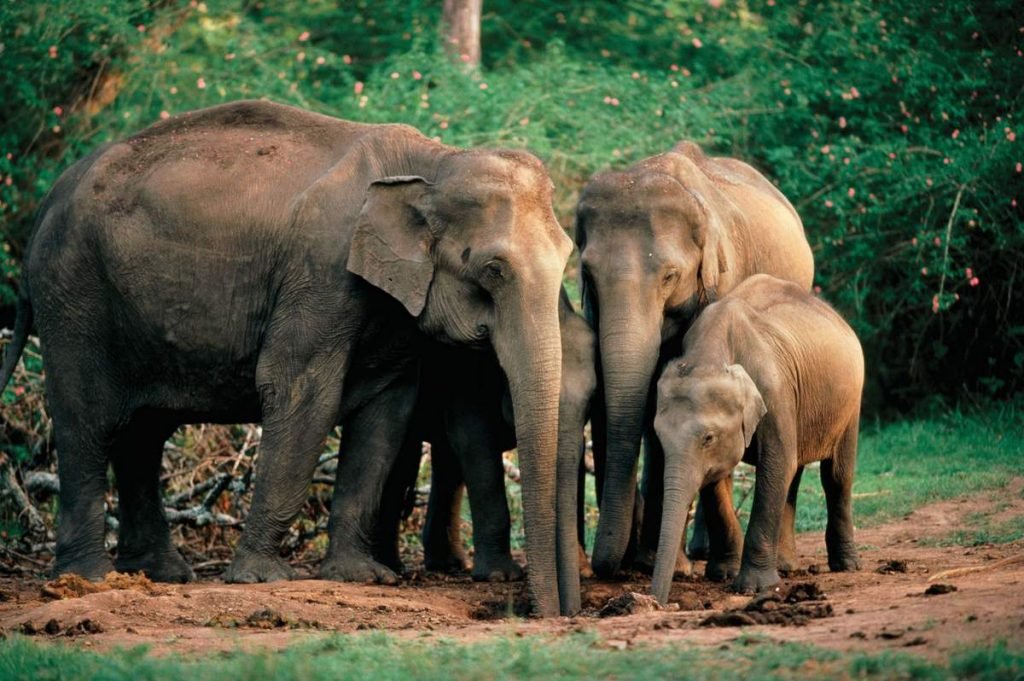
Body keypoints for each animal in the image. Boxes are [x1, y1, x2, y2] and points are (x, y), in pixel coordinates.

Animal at [368, 284, 598, 614]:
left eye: (592, 398)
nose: (568, 611)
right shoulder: (465, 370)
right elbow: (473, 438)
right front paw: (500, 577)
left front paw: (583, 571)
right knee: (407, 458)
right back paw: (393, 566)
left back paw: (449, 564)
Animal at [577, 140, 815, 577]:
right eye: (588, 274)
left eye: (670, 276)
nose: (607, 566)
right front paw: (655, 562)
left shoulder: (721, 280)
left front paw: (674, 567)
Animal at [647, 272, 864, 602]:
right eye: (659, 436)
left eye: (708, 438)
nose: (656, 602)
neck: (711, 353)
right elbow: (717, 480)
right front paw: (723, 573)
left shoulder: (775, 391)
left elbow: (775, 466)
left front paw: (752, 587)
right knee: (794, 473)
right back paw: (786, 566)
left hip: (850, 402)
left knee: (836, 476)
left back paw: (847, 565)